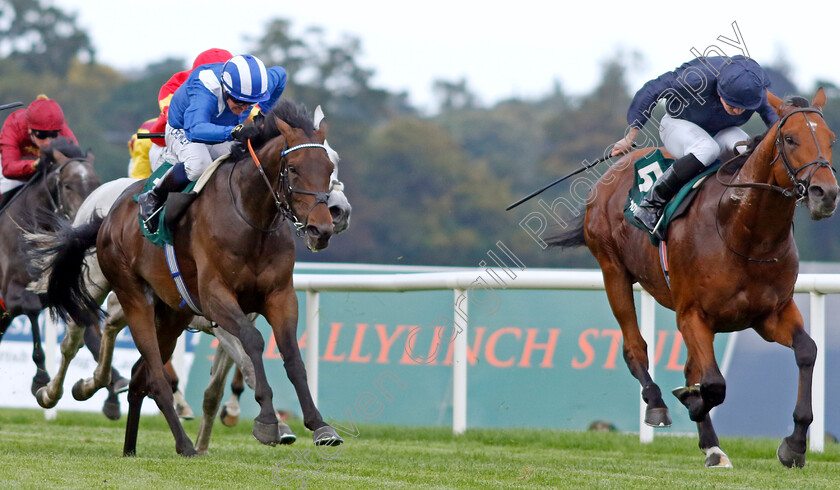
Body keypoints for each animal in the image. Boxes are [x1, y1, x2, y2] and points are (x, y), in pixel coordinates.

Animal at [552, 90, 832, 468]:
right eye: (790, 139)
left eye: (832, 139)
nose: (826, 193)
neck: (743, 232)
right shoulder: (691, 314)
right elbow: (713, 382)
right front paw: (690, 401)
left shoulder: (770, 314)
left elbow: (807, 350)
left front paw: (796, 445)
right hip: (613, 271)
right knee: (635, 347)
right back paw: (659, 406)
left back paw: (711, 444)